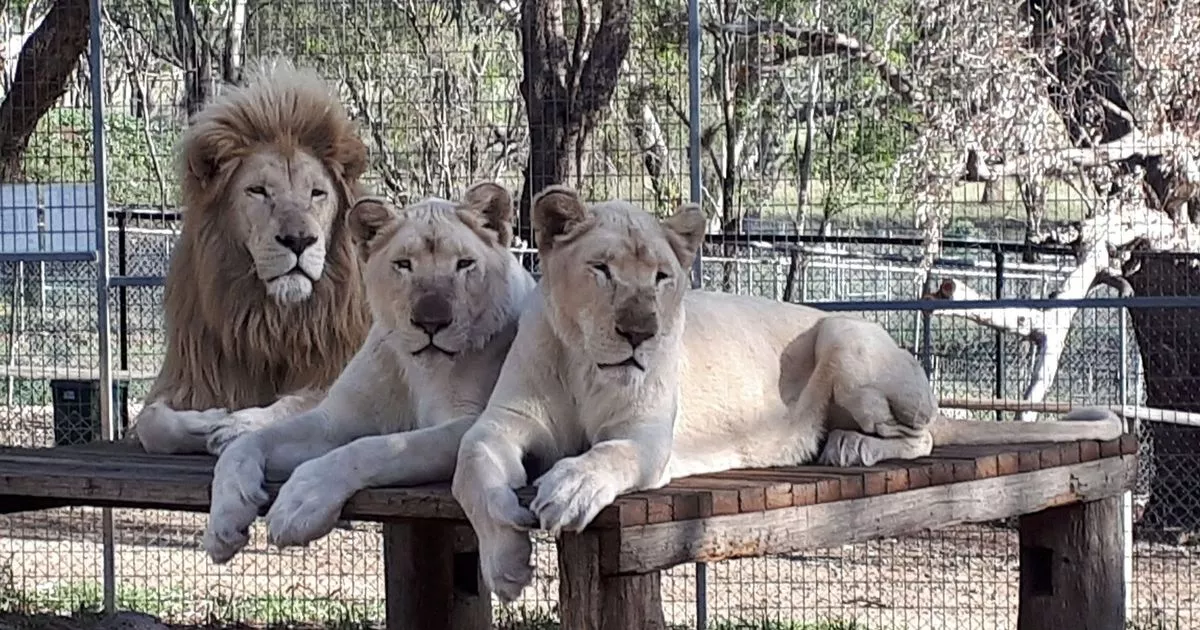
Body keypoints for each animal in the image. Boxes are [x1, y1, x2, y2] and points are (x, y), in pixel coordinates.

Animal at [125, 60, 373, 456]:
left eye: (317, 193)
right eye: (258, 191)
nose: (299, 240)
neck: (270, 320)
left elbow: (302, 401)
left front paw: (240, 423)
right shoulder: (188, 375)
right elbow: (152, 422)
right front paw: (210, 418)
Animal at [201, 182, 538, 564]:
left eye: (465, 264)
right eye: (403, 264)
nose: (430, 322)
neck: (419, 370)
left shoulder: (469, 423)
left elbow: (374, 447)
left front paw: (301, 500)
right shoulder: (336, 420)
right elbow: (249, 445)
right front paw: (225, 518)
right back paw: (228, 427)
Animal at [450, 186, 1128, 602]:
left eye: (662, 277)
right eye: (602, 270)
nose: (641, 331)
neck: (588, 366)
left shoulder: (646, 437)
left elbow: (606, 455)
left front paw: (569, 489)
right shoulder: (503, 420)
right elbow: (469, 466)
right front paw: (505, 564)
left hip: (846, 334)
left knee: (922, 438)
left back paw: (850, 447)